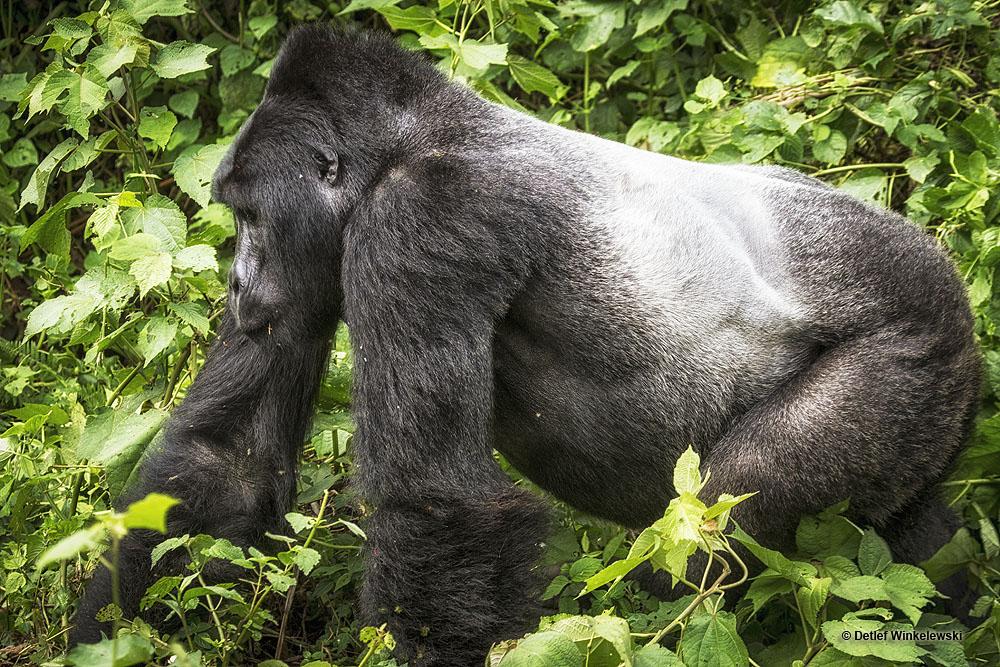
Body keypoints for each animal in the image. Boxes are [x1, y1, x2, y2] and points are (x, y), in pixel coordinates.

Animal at [74, 23, 980, 664]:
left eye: (248, 217)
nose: (236, 283)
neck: (412, 136)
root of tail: (940, 267)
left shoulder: (422, 217)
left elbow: (439, 505)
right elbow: (228, 460)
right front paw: (107, 639)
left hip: (914, 336)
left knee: (714, 525)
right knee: (911, 543)